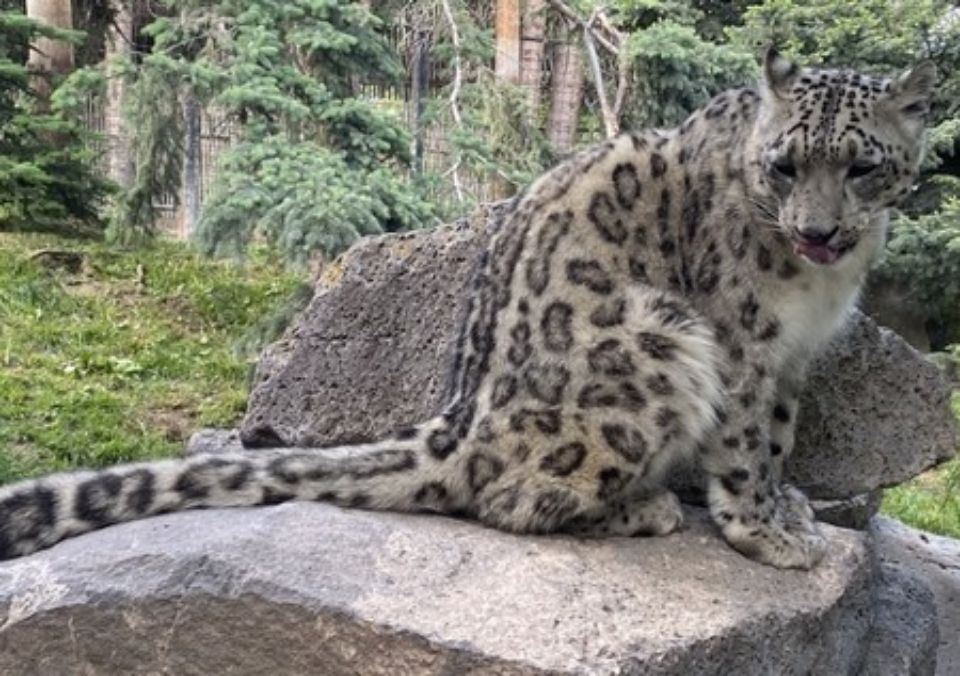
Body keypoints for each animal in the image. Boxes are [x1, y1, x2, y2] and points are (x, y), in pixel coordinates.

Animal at [0, 48, 936, 569]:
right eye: (784, 165)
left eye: (861, 166)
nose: (816, 231)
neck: (820, 289)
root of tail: (455, 427)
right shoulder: (743, 341)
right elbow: (744, 448)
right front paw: (764, 533)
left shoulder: (794, 355)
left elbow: (777, 440)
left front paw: (791, 507)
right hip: (660, 346)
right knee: (508, 501)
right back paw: (646, 507)